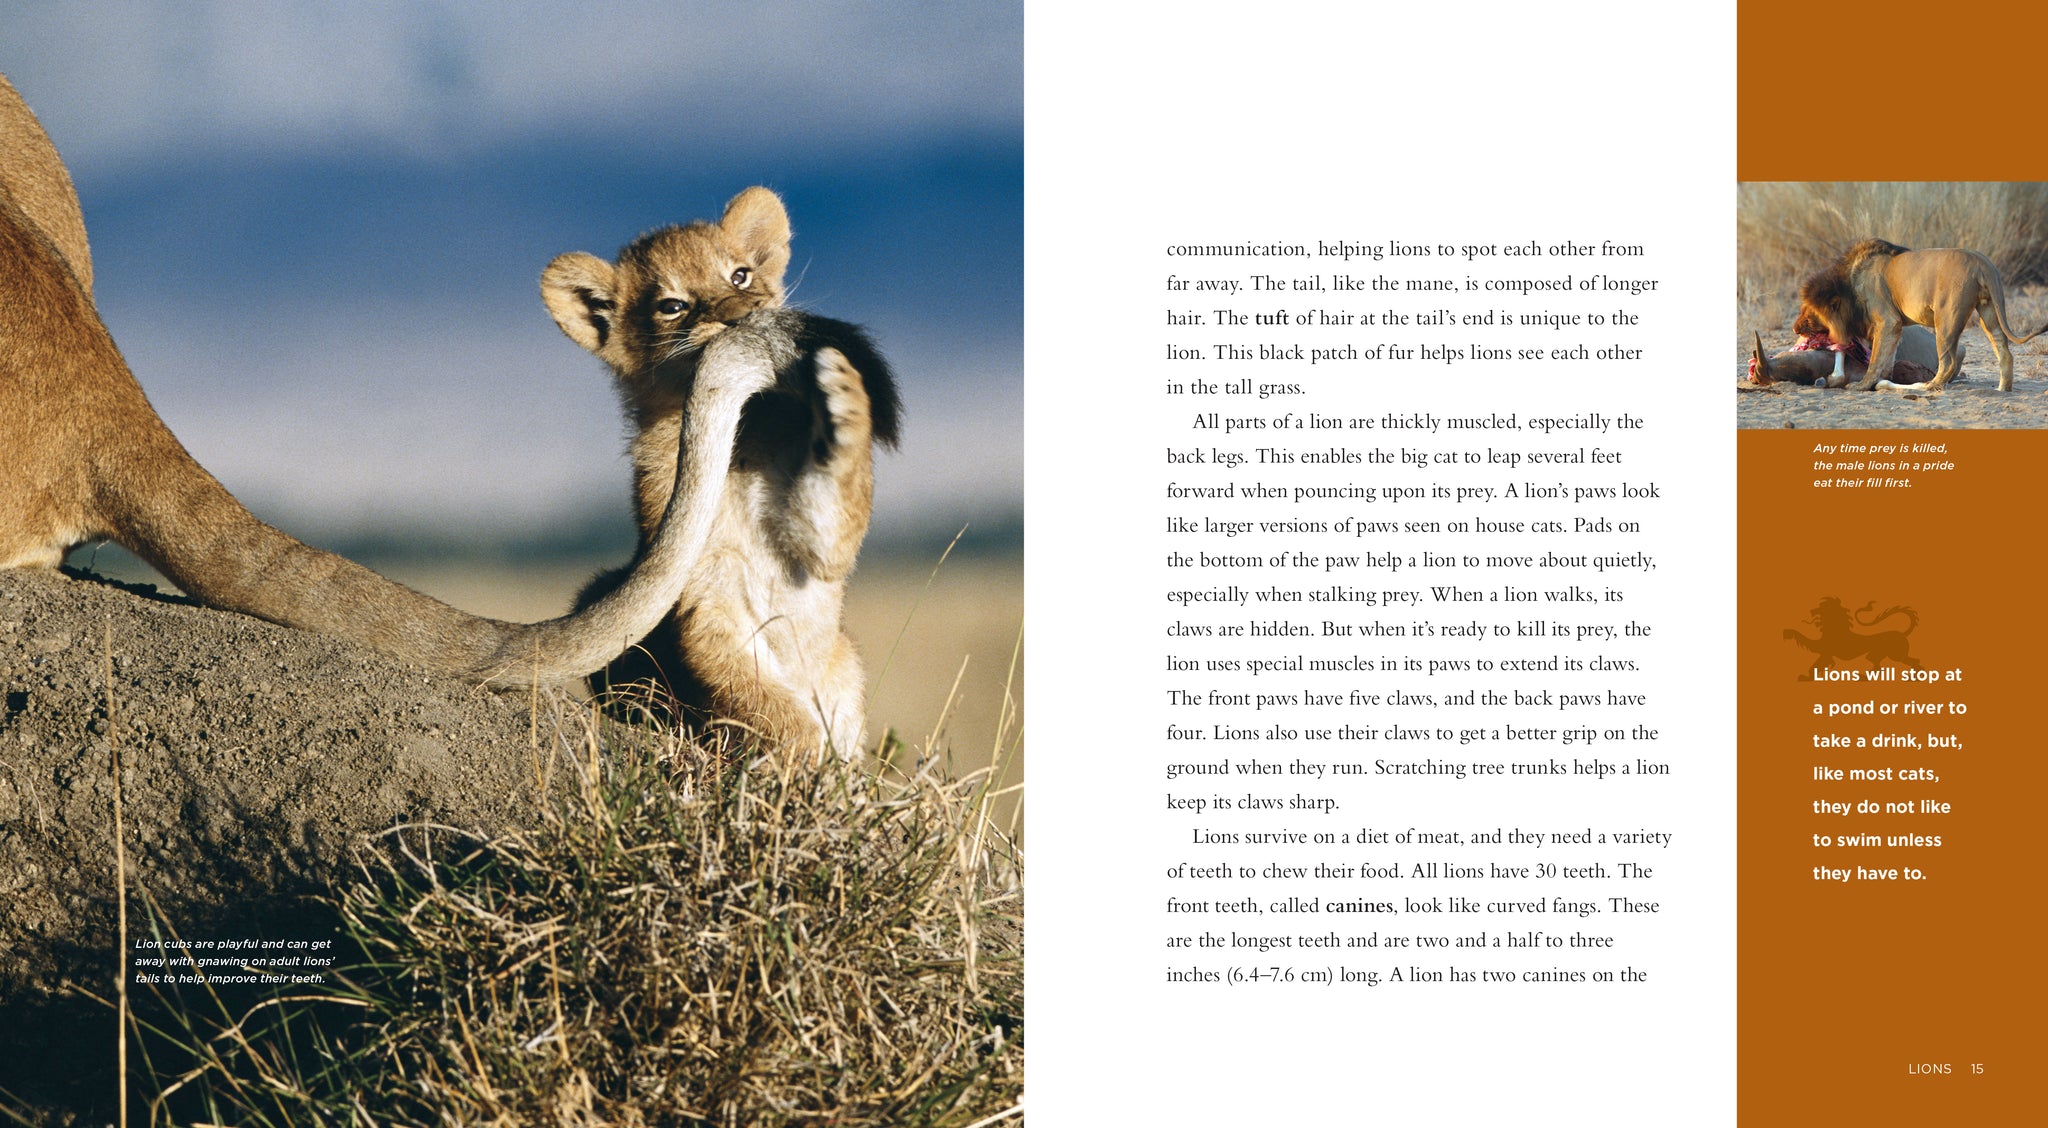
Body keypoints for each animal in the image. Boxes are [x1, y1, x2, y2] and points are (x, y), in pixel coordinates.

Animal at [541, 188, 901, 758]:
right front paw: (802, 759)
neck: (743, 440)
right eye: (672, 306)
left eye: (740, 276)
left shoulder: (816, 551)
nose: (739, 318)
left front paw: (844, 396)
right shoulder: (702, 593)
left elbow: (834, 528)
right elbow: (760, 701)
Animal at [1799, 238, 2045, 391]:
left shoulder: (1888, 320)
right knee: (2004, 352)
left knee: (1948, 363)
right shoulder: (1892, 327)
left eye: (1807, 314)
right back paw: (2002, 388)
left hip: (1946, 318)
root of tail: (1981, 260)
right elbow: (1886, 358)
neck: (1849, 285)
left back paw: (1925, 387)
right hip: (1989, 310)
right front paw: (1879, 381)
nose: (1795, 328)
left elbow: (1876, 358)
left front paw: (1862, 385)